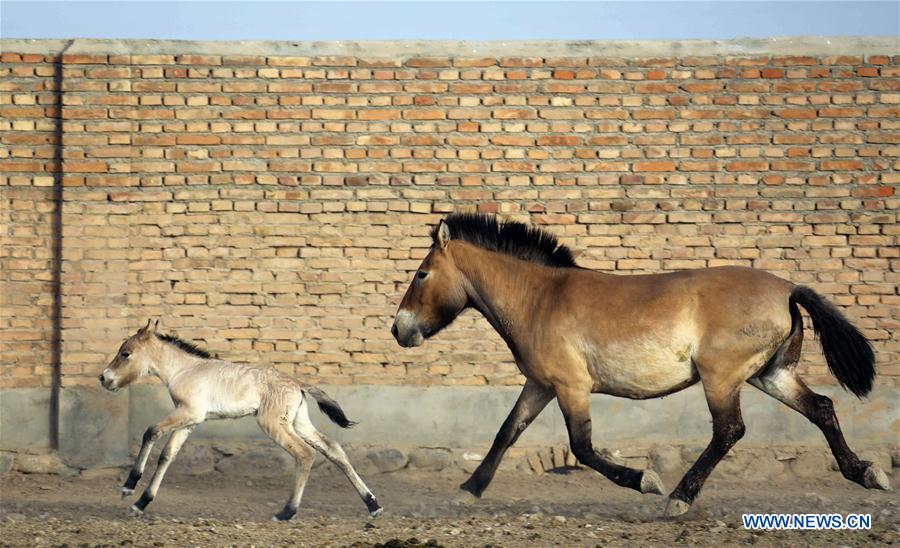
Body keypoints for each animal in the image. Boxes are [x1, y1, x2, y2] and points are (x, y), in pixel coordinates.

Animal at [99, 320, 383, 520]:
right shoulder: (191, 420)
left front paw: (128, 487)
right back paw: (373, 505)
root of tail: (298, 385)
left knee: (305, 454)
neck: (185, 369)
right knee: (333, 449)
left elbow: (150, 432)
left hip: (273, 423)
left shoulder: (188, 412)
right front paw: (140, 503)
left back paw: (286, 513)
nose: (104, 378)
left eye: (126, 353)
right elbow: (167, 455)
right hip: (299, 423)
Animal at [391, 213, 889, 517]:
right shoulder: (541, 384)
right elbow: (506, 433)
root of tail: (787, 288)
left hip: (722, 378)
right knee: (822, 407)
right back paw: (866, 472)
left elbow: (582, 447)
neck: (540, 299)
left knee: (730, 430)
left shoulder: (571, 386)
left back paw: (679, 498)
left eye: (421, 273)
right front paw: (468, 489)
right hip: (771, 375)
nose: (398, 329)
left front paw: (645, 480)